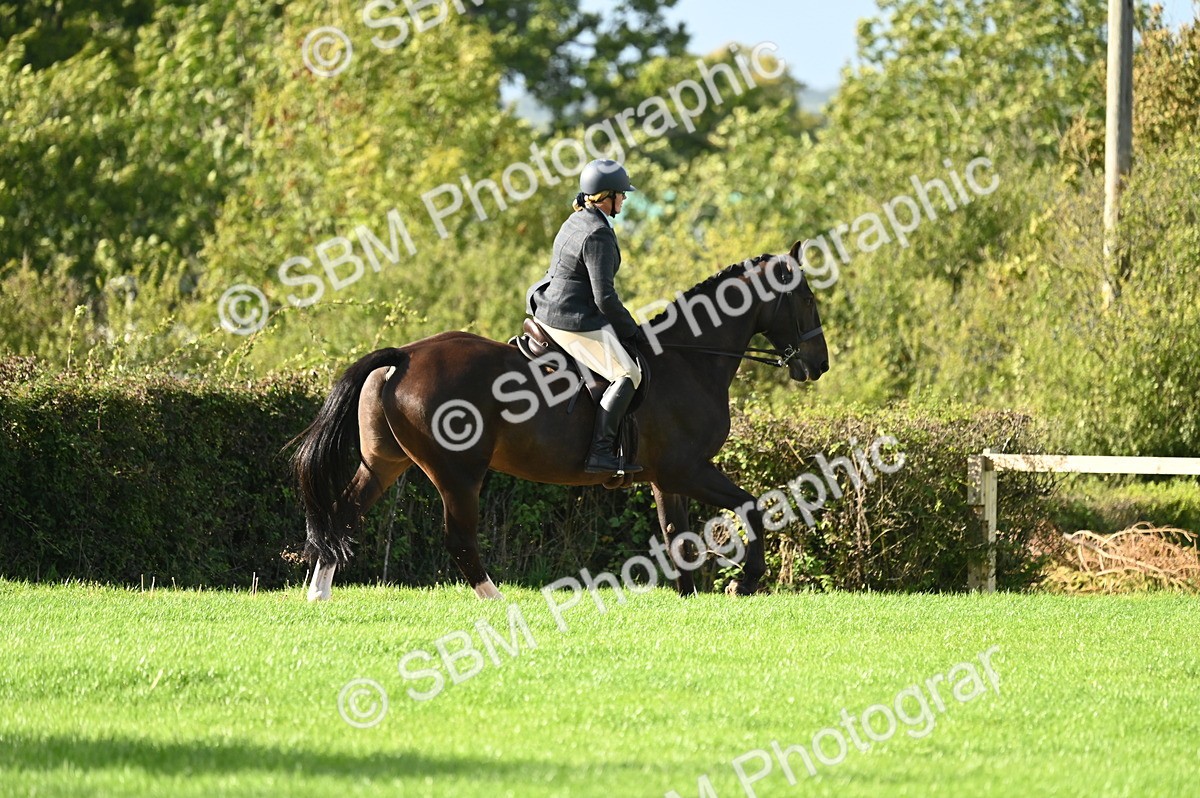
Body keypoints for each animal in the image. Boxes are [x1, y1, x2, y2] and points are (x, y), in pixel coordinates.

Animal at [290, 239, 828, 600]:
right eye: (805, 298)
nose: (818, 365)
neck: (690, 358)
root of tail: (403, 356)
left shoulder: (666, 478)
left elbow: (678, 536)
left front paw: (690, 597)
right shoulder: (688, 469)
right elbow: (750, 506)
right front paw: (747, 582)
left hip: (385, 462)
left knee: (344, 511)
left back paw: (319, 593)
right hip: (458, 473)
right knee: (458, 538)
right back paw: (497, 602)